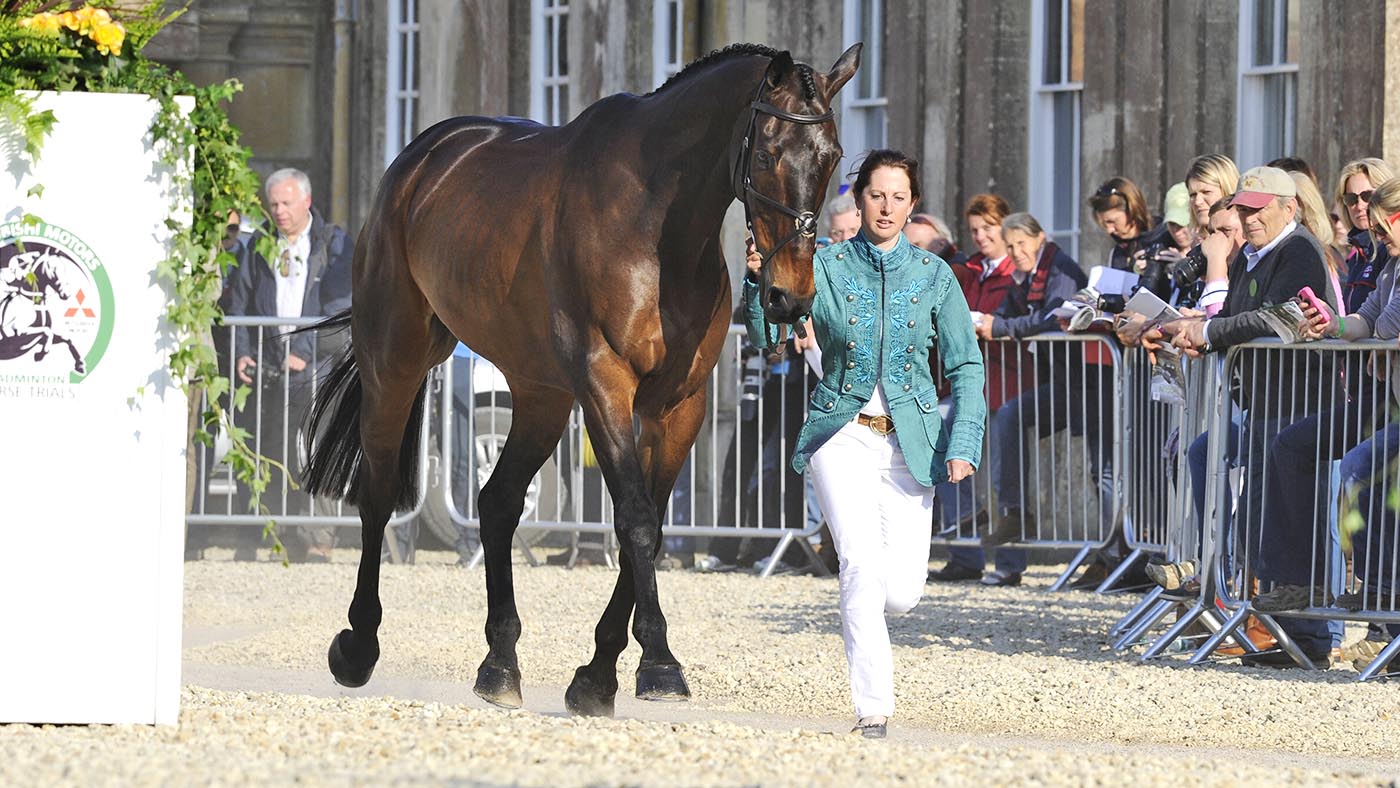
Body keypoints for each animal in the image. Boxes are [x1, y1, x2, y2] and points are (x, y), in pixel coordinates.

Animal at [302, 42, 860, 716]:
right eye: (768, 152)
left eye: (832, 157)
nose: (788, 297)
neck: (657, 227)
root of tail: (417, 162)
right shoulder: (603, 385)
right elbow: (636, 519)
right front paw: (659, 665)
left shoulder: (678, 407)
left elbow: (652, 523)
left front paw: (597, 675)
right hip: (398, 359)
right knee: (381, 492)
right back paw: (358, 646)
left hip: (539, 394)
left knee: (497, 502)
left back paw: (500, 664)